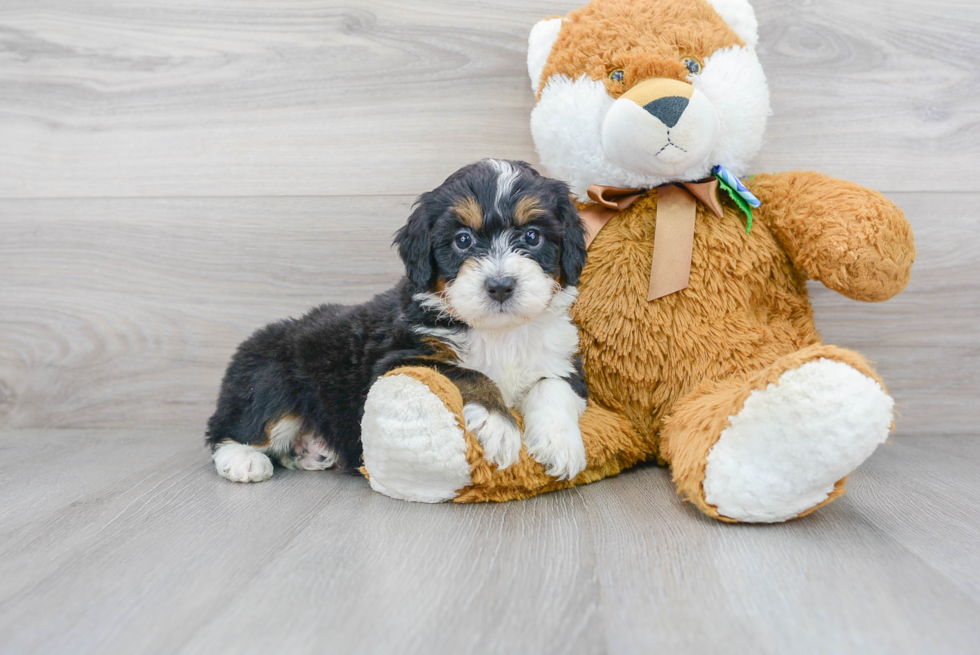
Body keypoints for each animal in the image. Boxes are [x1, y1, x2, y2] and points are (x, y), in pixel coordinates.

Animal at [205, 160, 588, 482]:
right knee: (233, 429)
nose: (500, 286)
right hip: (271, 381)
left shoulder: (564, 358)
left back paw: (312, 453)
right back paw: (243, 460)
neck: (498, 333)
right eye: (462, 240)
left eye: (532, 236)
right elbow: (470, 374)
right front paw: (499, 425)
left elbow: (553, 386)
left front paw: (560, 444)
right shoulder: (398, 361)